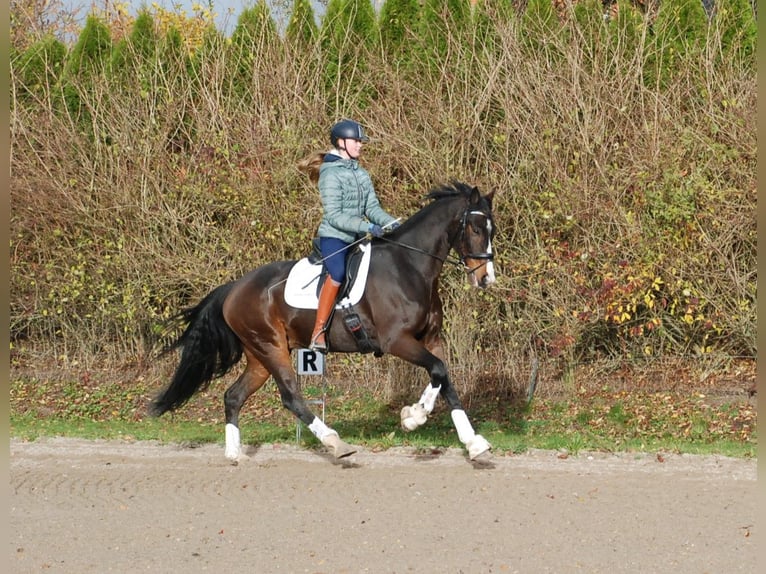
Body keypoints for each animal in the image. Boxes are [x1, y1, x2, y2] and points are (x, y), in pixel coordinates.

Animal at [150, 180, 498, 464]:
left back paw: (234, 455)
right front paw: (415, 416)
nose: (486, 279)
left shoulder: (430, 339)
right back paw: (335, 443)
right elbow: (438, 371)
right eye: (475, 229)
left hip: (259, 356)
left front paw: (473, 443)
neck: (409, 266)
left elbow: (444, 378)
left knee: (233, 396)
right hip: (272, 348)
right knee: (291, 397)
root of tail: (235, 287)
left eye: (492, 230)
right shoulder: (397, 341)